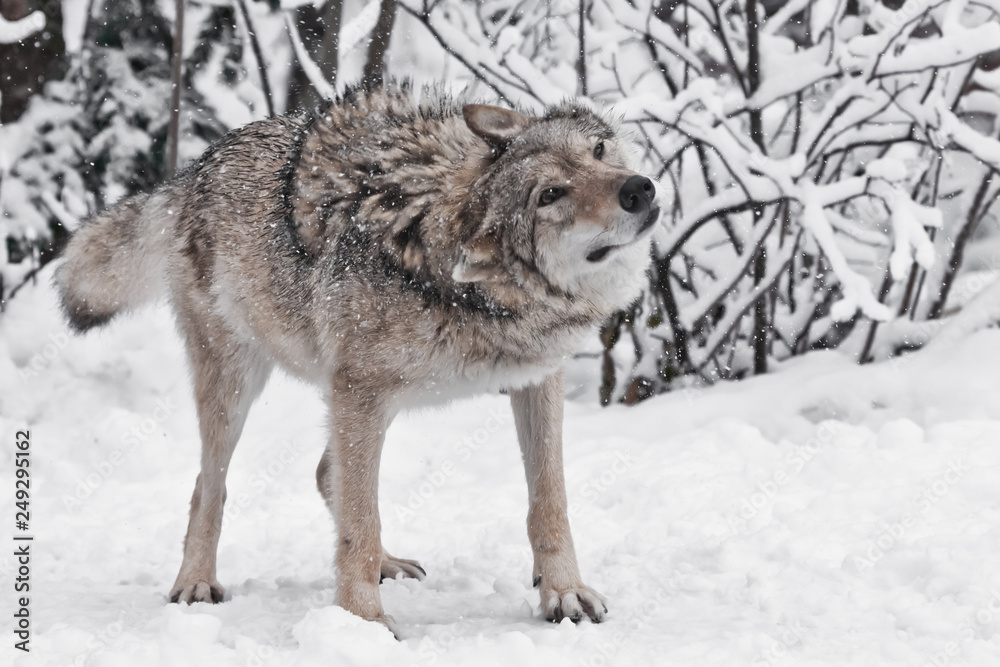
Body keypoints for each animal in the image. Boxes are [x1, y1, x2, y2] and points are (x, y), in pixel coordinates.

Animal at [55, 83, 659, 633]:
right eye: (550, 195)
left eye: (599, 150)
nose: (640, 189)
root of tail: (194, 169)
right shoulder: (357, 391)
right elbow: (357, 527)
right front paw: (363, 622)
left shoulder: (537, 378)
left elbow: (549, 503)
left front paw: (564, 593)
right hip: (244, 387)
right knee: (213, 485)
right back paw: (196, 583)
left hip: (375, 403)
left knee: (328, 475)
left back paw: (388, 563)